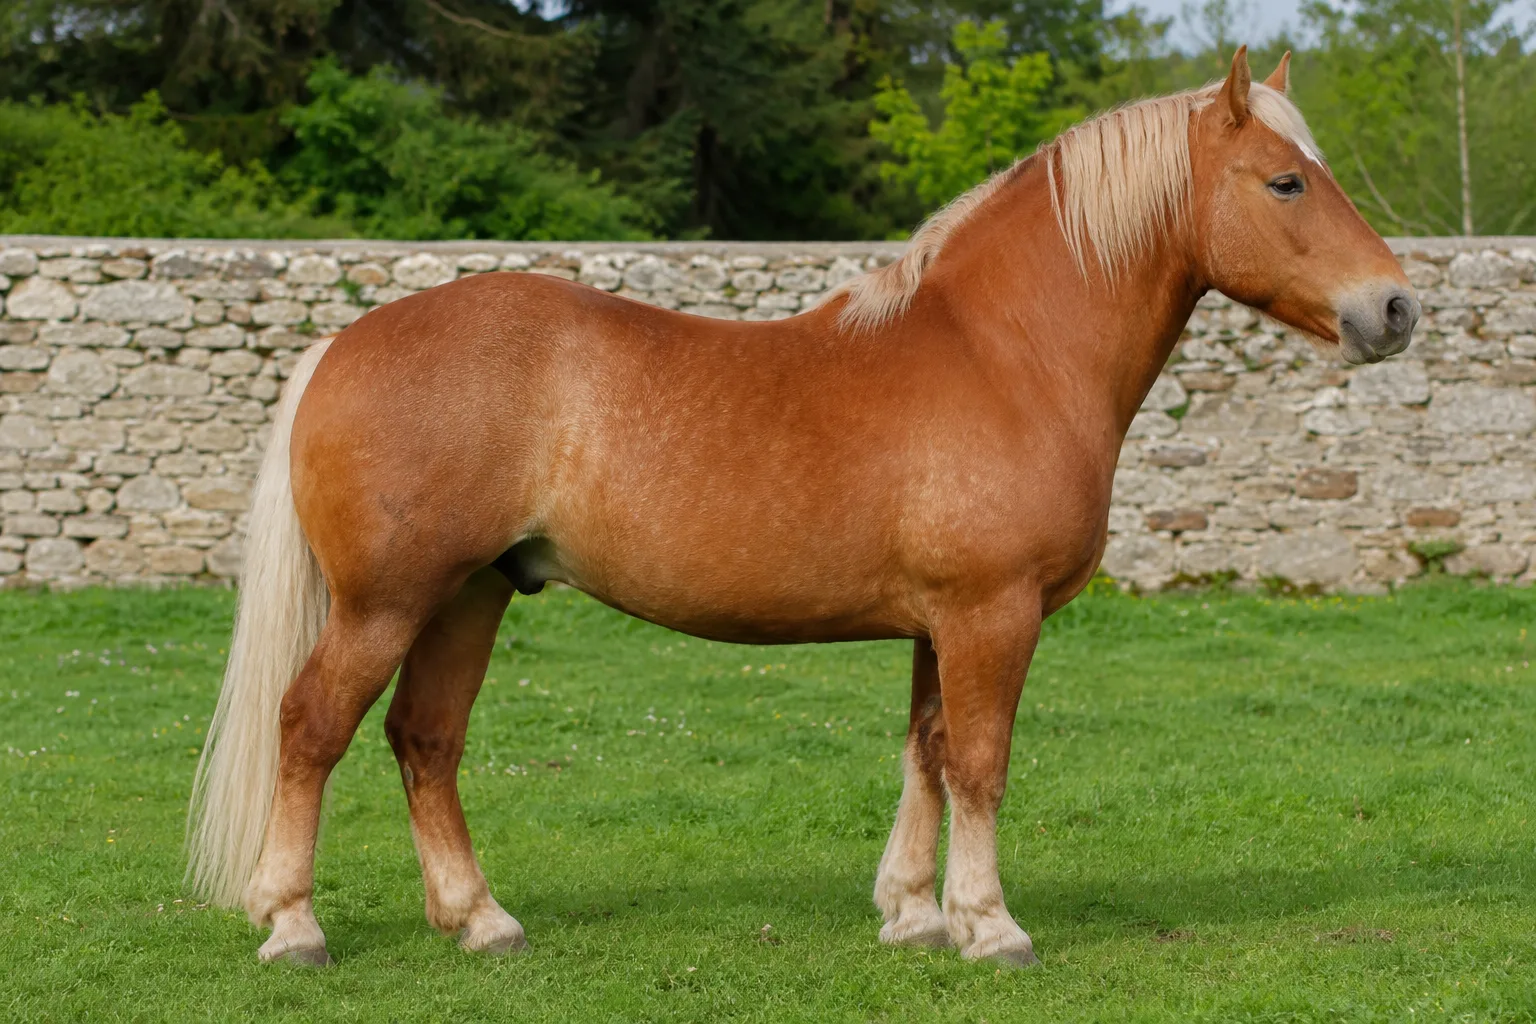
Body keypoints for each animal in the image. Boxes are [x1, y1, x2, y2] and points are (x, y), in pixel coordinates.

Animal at [187, 48, 1418, 968]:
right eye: (1287, 182)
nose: (1396, 309)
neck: (1005, 354)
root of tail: (345, 341)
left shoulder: (941, 623)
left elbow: (927, 751)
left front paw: (915, 914)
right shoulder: (992, 614)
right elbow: (981, 762)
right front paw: (991, 926)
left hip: (470, 597)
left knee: (425, 739)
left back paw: (480, 921)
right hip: (388, 603)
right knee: (314, 726)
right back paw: (293, 925)